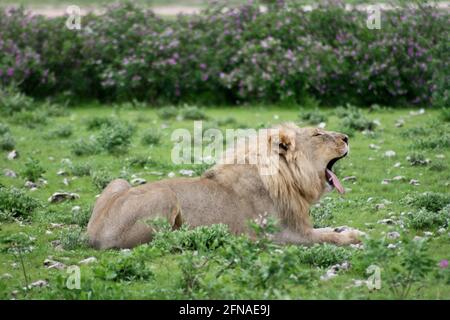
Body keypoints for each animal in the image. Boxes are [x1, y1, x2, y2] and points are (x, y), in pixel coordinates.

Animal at [87, 122, 362, 250]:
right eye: (318, 135)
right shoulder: (282, 236)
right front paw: (354, 236)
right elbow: (327, 236)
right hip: (165, 193)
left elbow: (327, 229)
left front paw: (348, 229)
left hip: (119, 182)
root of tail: (92, 236)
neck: (290, 179)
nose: (347, 137)